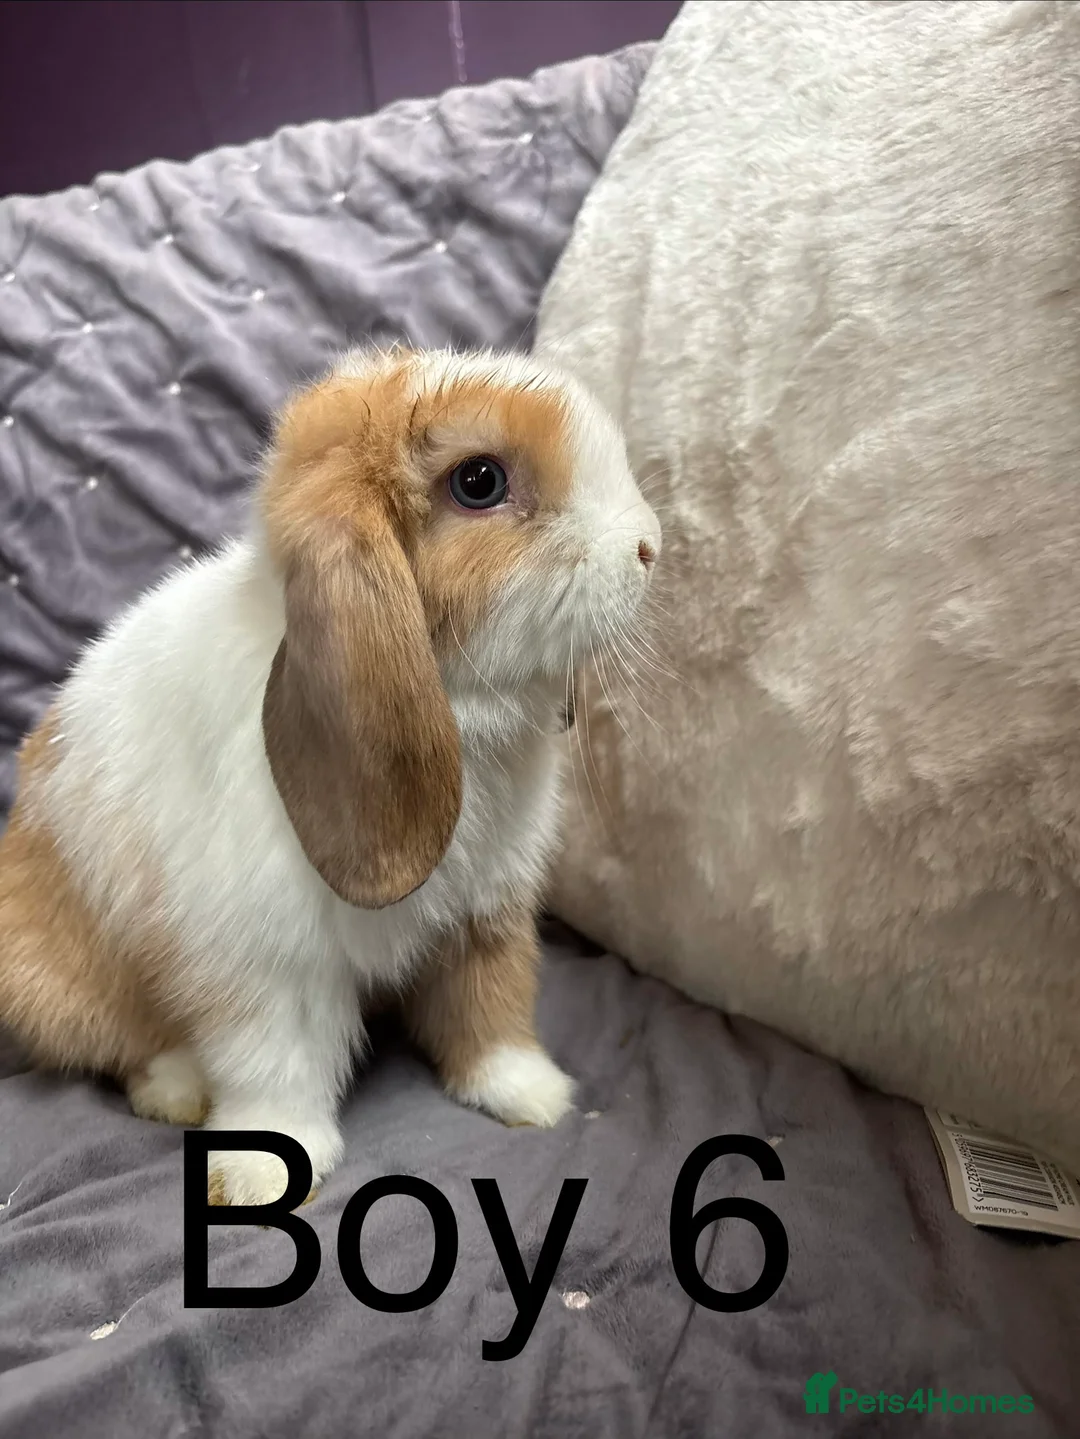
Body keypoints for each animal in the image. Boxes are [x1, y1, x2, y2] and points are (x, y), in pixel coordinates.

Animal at [0, 346, 661, 1207]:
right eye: (479, 480)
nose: (649, 546)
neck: (460, 710)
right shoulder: (265, 965)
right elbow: (274, 1063)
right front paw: (259, 1173)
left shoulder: (486, 915)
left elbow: (490, 1007)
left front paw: (530, 1095)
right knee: (123, 1045)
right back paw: (177, 1089)